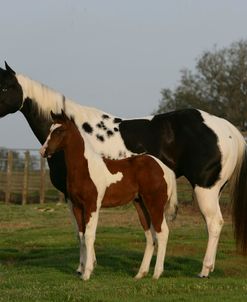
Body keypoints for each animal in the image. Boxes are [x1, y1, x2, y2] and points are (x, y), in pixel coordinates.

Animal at [39, 111, 177, 280]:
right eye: (50, 129)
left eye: (59, 131)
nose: (43, 151)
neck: (85, 169)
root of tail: (164, 168)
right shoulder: (77, 207)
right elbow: (81, 236)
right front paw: (82, 270)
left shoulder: (92, 206)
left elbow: (89, 236)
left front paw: (87, 273)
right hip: (141, 204)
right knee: (150, 236)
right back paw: (140, 273)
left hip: (155, 204)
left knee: (162, 233)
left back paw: (156, 274)